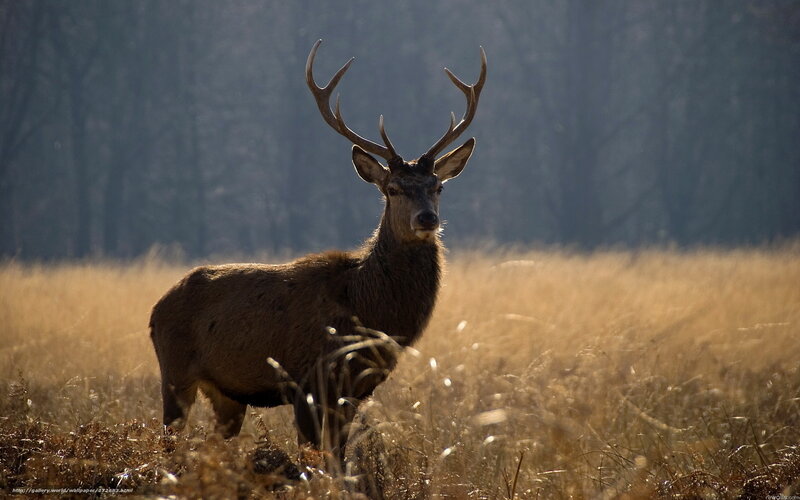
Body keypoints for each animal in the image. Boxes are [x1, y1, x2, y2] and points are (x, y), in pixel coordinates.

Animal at [149, 40, 486, 464]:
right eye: (393, 189)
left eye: (438, 186)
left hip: (228, 394)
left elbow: (339, 460)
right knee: (167, 441)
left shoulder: (353, 391)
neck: (366, 308)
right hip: (174, 373)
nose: (427, 218)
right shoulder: (306, 380)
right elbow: (314, 461)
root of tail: (155, 309)